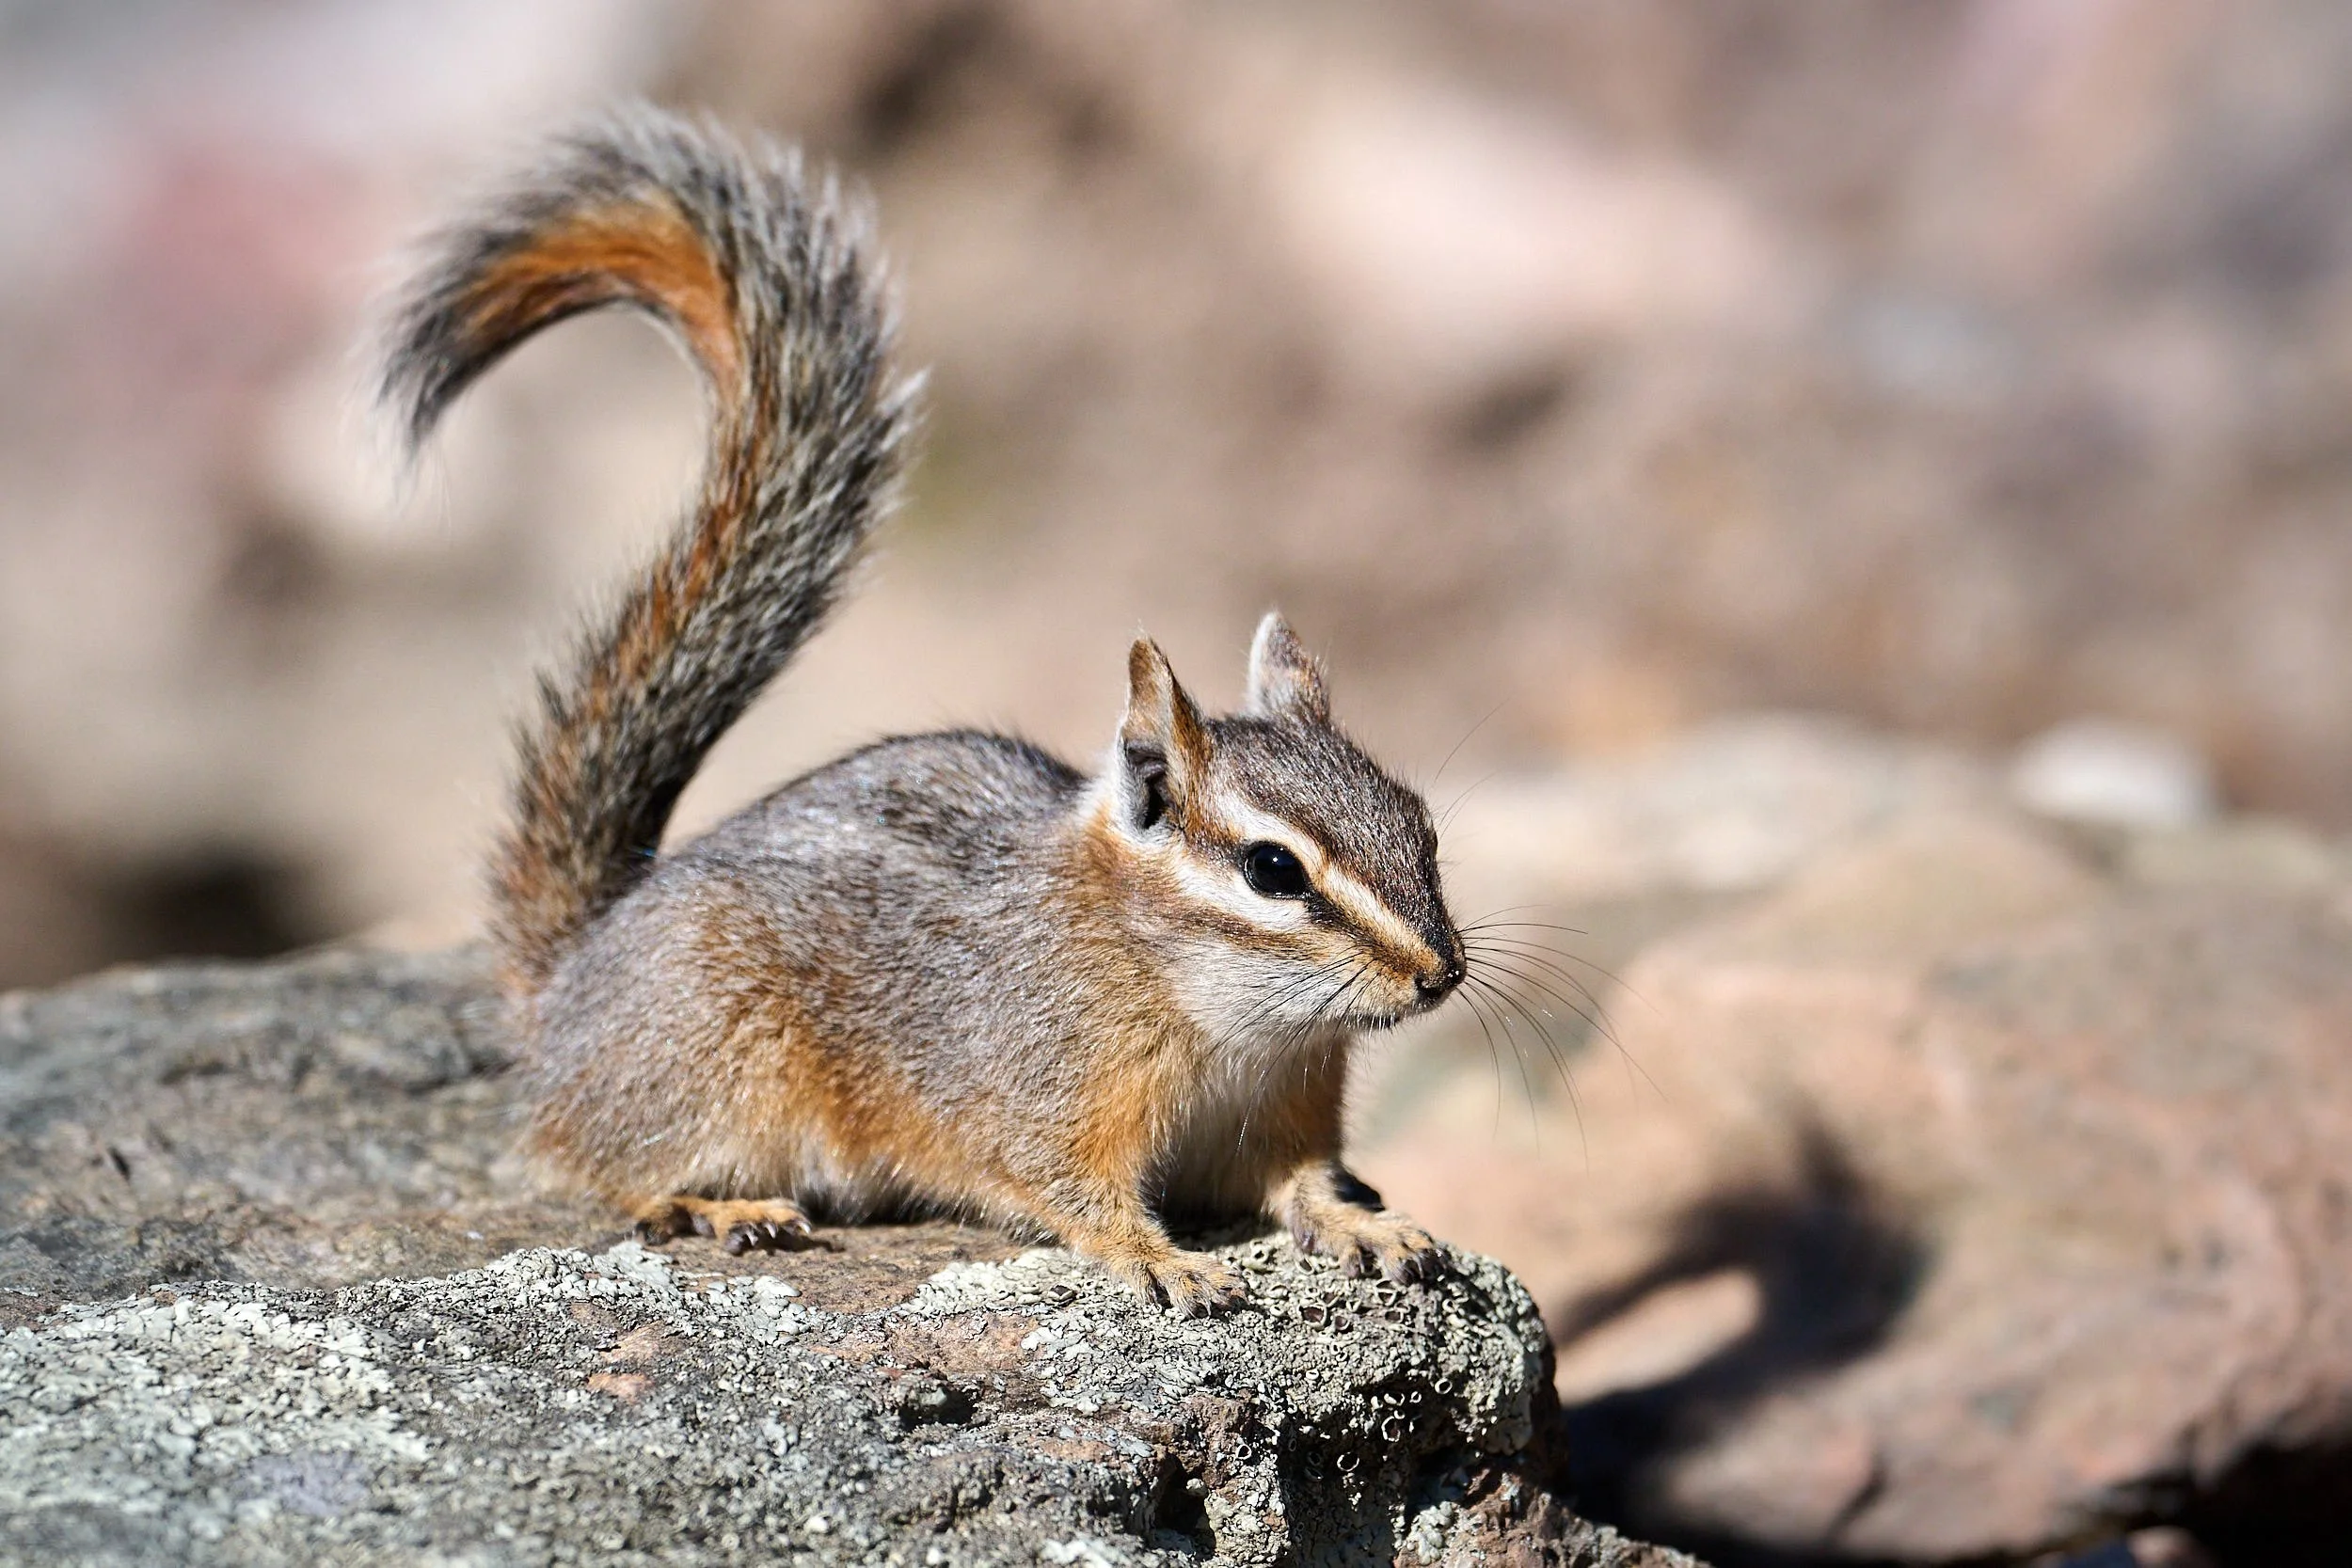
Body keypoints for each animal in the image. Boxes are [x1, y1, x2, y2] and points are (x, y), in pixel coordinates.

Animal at [377, 108, 1467, 1315]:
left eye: (1421, 822)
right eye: (1273, 868)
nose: (1441, 976)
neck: (1229, 1016)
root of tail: (567, 983)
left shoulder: (1279, 1108)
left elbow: (1303, 1183)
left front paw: (1370, 1223)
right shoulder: (1036, 1096)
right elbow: (1071, 1192)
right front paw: (1161, 1256)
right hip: (718, 1066)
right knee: (606, 1167)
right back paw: (723, 1206)